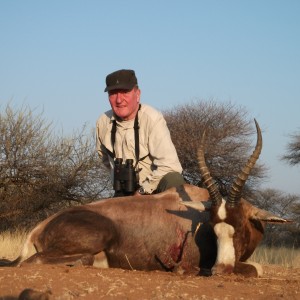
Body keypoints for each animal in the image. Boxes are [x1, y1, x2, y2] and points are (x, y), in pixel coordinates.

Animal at [0, 119, 290, 276]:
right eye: (214, 228)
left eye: (239, 226)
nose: (221, 270)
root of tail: (39, 227)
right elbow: (257, 268)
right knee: (36, 261)